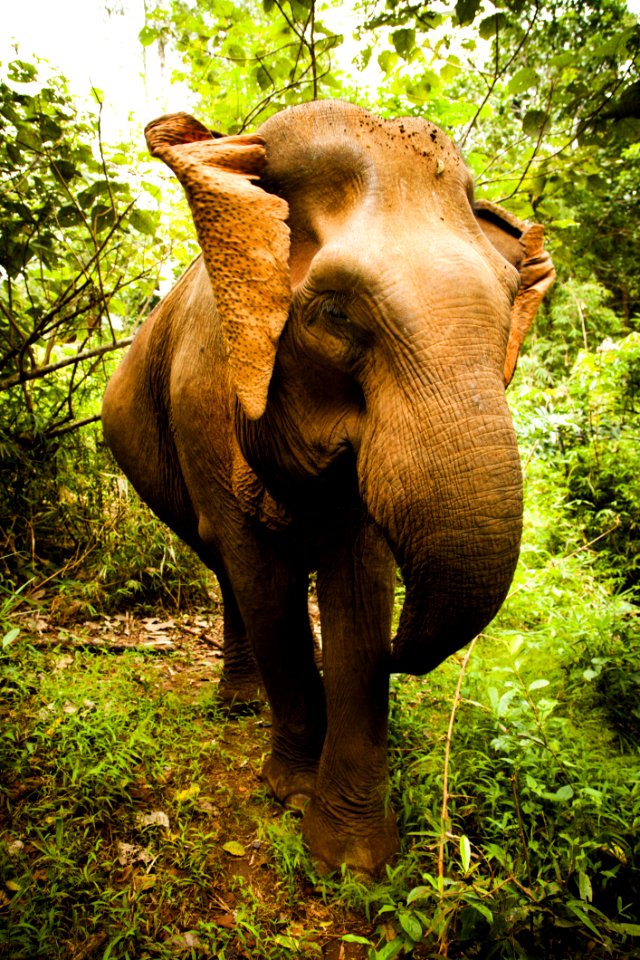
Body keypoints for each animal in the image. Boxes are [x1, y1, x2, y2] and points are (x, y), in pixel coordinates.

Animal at [101, 101, 556, 872]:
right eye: (337, 315)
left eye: (508, 305)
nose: (406, 653)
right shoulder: (201, 394)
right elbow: (265, 581)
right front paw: (290, 792)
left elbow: (360, 585)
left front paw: (349, 860)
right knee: (225, 565)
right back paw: (242, 703)